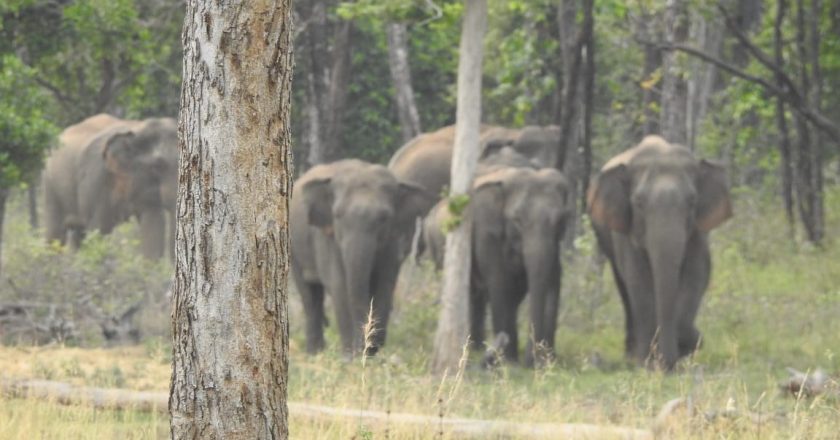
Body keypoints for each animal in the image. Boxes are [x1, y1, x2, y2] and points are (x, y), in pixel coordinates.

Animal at [43, 113, 178, 260]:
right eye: (158, 166)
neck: (138, 129)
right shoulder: (96, 177)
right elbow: (98, 229)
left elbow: (152, 225)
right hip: (50, 184)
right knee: (55, 234)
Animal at [290, 160, 434, 356]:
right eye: (337, 215)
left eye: (384, 217)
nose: (364, 347)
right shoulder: (325, 236)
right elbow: (339, 285)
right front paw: (350, 356)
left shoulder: (392, 239)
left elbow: (384, 285)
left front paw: (372, 353)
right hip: (294, 250)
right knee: (310, 297)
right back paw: (315, 353)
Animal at [420, 163, 572, 366]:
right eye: (517, 220)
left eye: (561, 220)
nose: (531, 361)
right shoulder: (487, 232)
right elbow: (499, 283)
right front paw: (508, 360)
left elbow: (552, 282)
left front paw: (547, 361)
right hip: (437, 246)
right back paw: (475, 348)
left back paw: (477, 347)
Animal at [588, 135, 732, 372]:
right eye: (638, 202)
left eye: (692, 201)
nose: (669, 362)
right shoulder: (626, 231)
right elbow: (638, 280)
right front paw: (648, 362)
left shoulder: (698, 230)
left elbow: (698, 274)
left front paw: (686, 344)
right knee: (624, 287)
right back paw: (633, 355)